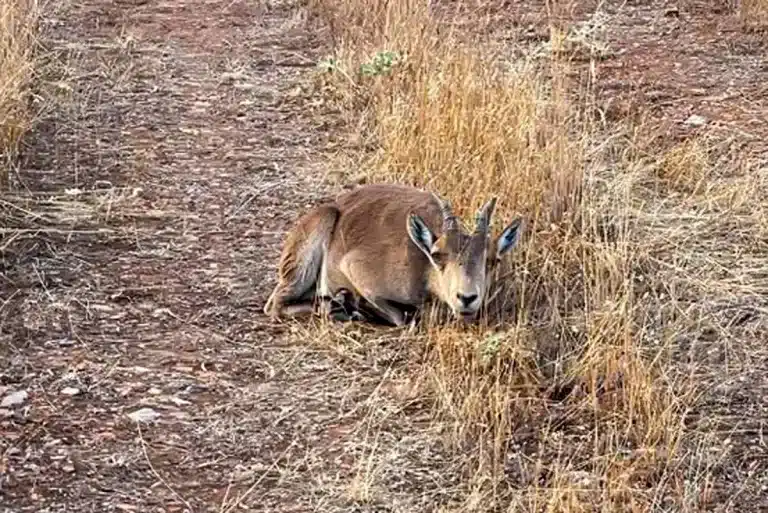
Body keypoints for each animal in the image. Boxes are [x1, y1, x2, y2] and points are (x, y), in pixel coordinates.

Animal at [263, 183, 523, 326]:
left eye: (492, 260)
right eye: (438, 256)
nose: (466, 298)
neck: (422, 268)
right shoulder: (356, 269)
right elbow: (400, 316)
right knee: (275, 304)